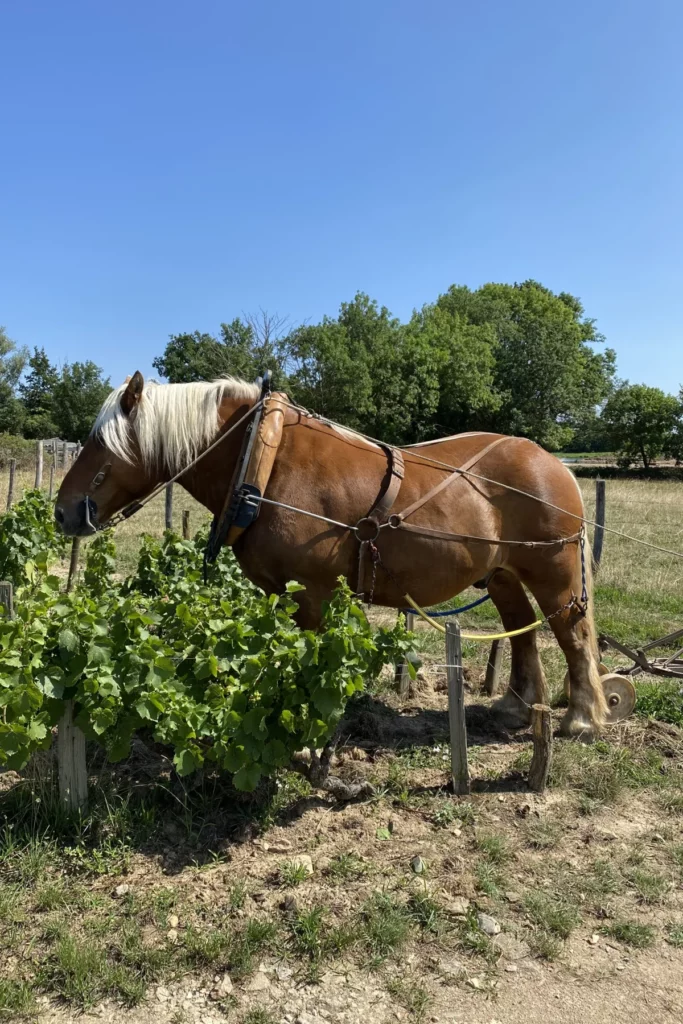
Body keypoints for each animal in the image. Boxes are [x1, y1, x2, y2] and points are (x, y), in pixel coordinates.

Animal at [55, 372, 607, 741]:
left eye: (100, 441)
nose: (63, 512)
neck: (265, 460)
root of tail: (556, 463)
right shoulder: (281, 593)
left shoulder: (312, 595)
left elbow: (311, 662)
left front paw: (307, 731)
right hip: (501, 574)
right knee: (523, 631)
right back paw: (516, 707)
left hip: (553, 572)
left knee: (573, 635)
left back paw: (582, 717)